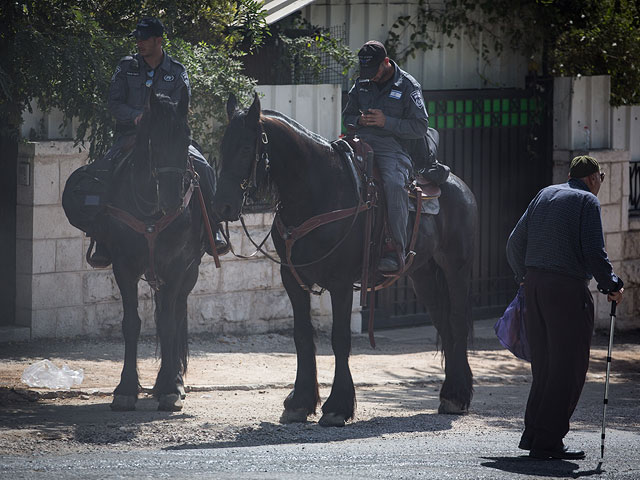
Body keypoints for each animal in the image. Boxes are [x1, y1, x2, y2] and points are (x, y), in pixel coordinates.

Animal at [102, 91, 205, 412]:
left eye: (186, 139)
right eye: (154, 142)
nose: (173, 199)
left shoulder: (176, 266)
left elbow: (169, 323)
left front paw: (171, 387)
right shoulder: (123, 266)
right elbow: (131, 323)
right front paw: (125, 389)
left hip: (188, 272)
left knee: (176, 313)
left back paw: (172, 381)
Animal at [216, 95, 480, 426]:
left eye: (245, 148)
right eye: (223, 146)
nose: (223, 205)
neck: (318, 191)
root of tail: (460, 186)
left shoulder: (340, 283)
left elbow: (340, 338)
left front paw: (337, 406)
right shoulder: (293, 280)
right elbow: (302, 335)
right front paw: (300, 402)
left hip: (457, 267)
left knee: (456, 323)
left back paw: (457, 396)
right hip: (422, 275)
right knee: (444, 326)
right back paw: (451, 394)